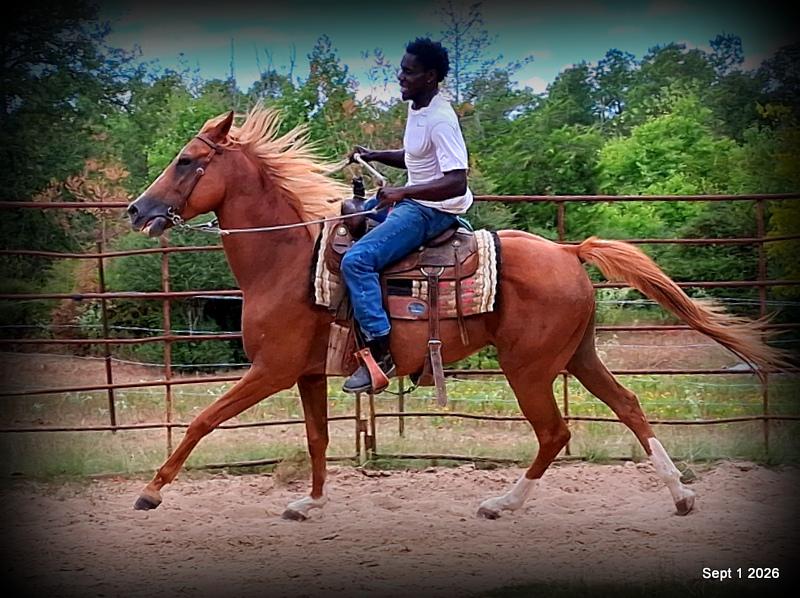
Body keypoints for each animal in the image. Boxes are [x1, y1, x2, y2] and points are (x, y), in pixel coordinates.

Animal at [126, 106, 786, 520]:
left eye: (187, 160)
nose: (137, 209)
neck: (285, 260)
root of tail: (568, 250)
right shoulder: (307, 373)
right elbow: (316, 440)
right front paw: (309, 504)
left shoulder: (272, 369)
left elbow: (202, 420)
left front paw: (151, 492)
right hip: (578, 354)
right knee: (628, 405)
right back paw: (680, 495)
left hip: (530, 367)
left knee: (555, 432)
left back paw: (502, 504)